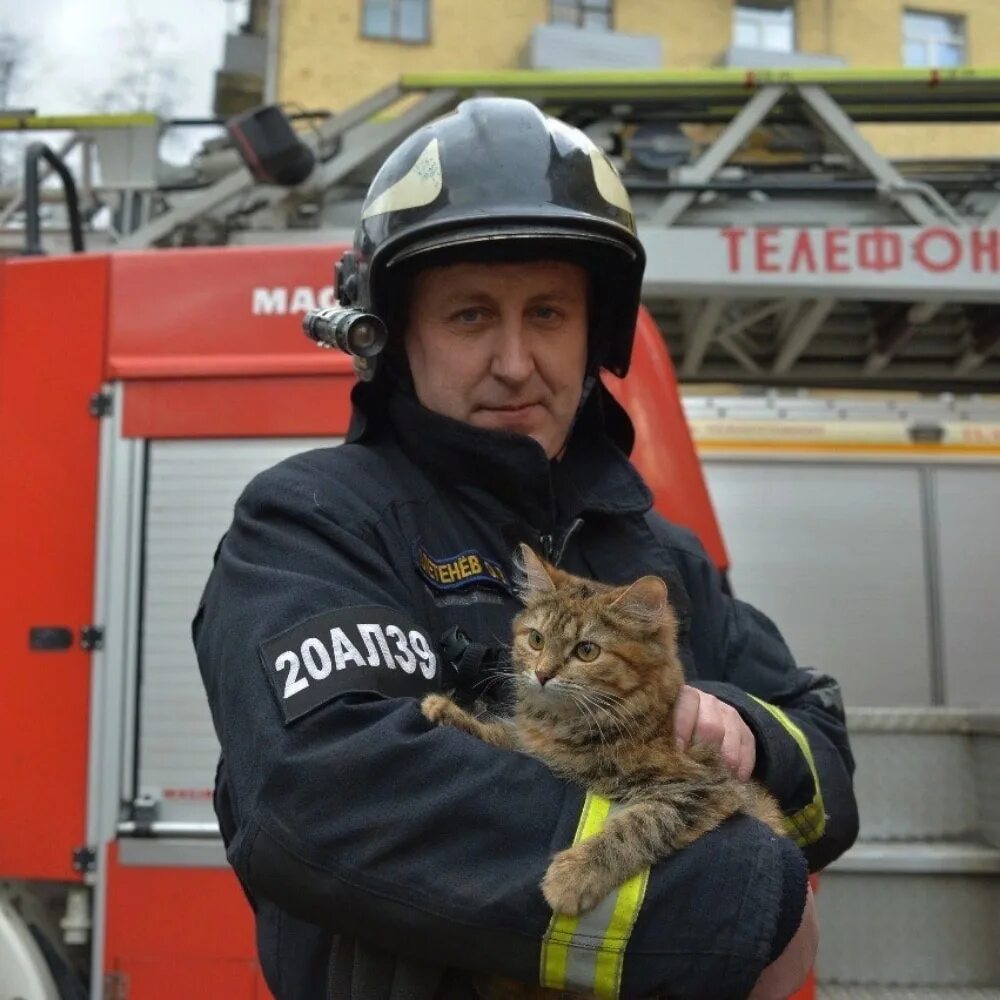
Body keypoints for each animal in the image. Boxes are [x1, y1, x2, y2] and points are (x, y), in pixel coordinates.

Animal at [418, 548, 784, 1000]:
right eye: (536, 640)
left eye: (587, 651)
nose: (542, 673)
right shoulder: (533, 748)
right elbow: (503, 735)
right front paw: (447, 711)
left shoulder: (701, 790)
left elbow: (631, 828)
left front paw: (571, 877)